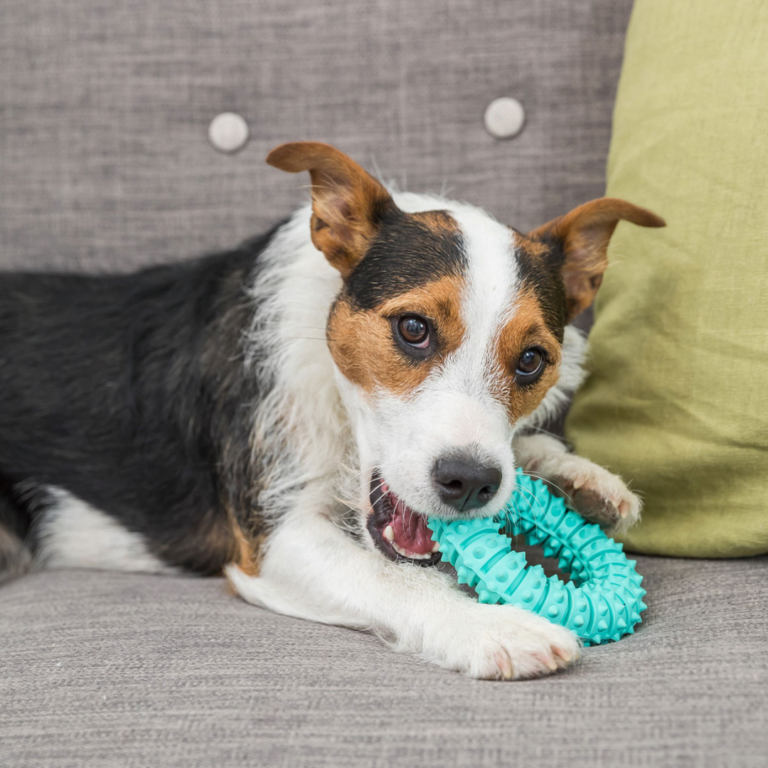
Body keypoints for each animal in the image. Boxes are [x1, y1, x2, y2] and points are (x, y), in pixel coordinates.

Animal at [0, 142, 660, 680]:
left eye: (530, 360)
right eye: (413, 328)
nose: (470, 482)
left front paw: (581, 477)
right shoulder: (274, 541)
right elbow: (393, 576)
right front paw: (493, 627)